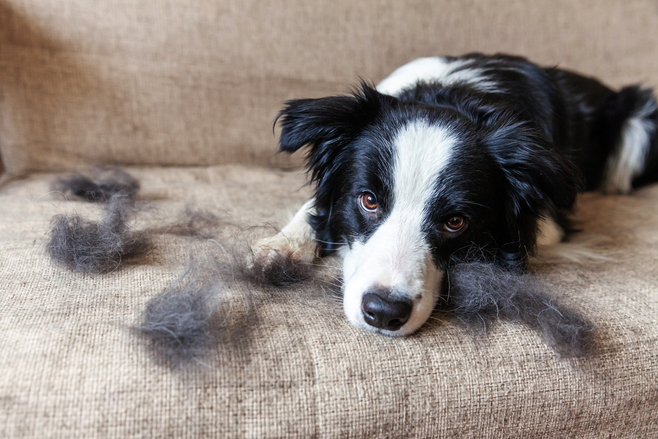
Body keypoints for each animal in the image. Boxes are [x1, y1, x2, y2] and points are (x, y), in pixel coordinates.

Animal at [251, 54, 656, 336]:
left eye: (455, 222)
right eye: (368, 200)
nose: (383, 313)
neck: (452, 98)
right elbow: (314, 208)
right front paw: (281, 247)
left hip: (640, 123)